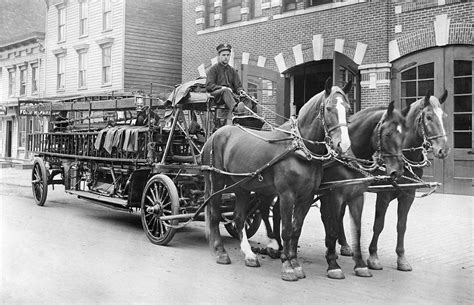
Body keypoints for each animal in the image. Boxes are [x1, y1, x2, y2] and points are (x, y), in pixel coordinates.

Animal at [201, 79, 352, 280]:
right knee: (215, 215)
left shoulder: (306, 196)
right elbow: (286, 230)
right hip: (216, 181)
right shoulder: (287, 194)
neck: (298, 149)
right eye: (328, 108)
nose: (343, 145)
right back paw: (220, 252)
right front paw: (287, 266)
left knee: (239, 218)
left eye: (348, 109)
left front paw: (295, 263)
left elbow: (296, 229)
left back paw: (249, 255)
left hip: (241, 187)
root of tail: (215, 135)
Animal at [364, 89, 450, 270]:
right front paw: (373, 256)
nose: (444, 150)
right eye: (429, 117)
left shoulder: (408, 194)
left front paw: (401, 258)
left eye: (444, 116)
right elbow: (378, 225)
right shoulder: (383, 194)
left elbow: (402, 226)